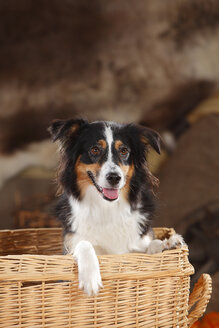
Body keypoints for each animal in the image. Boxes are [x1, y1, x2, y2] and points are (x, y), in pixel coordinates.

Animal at [48, 119, 184, 296]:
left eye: (124, 151)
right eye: (94, 150)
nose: (114, 177)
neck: (106, 207)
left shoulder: (138, 244)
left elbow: (149, 248)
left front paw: (166, 244)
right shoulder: (71, 244)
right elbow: (84, 244)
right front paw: (90, 278)